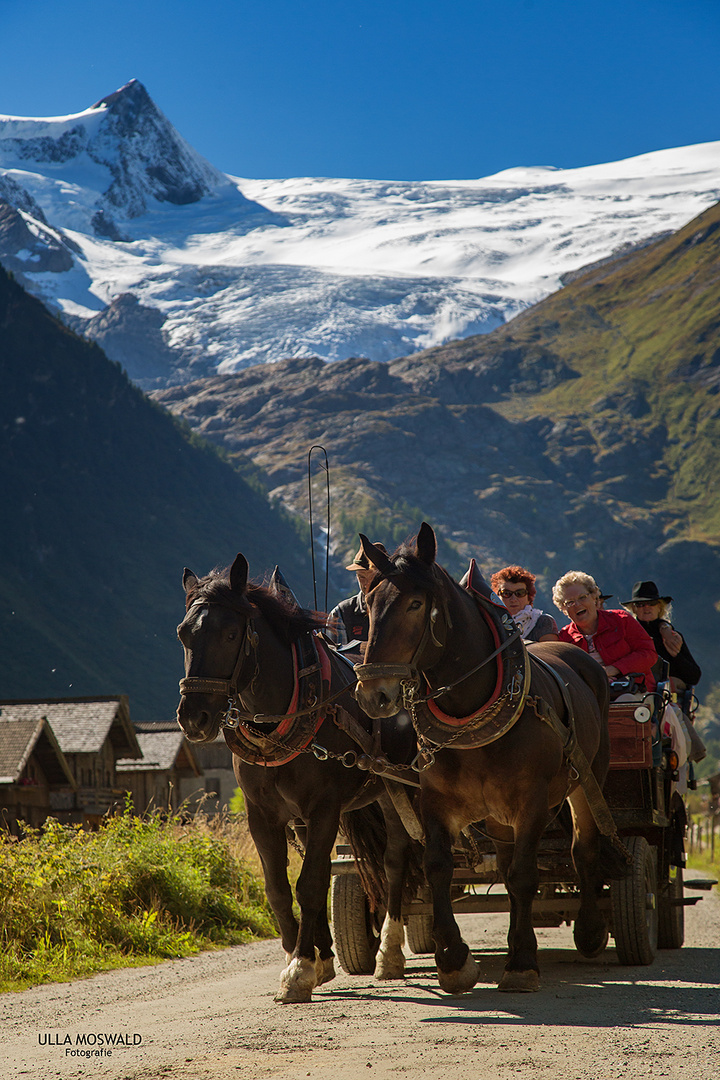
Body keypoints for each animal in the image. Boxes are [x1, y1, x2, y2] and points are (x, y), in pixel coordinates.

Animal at [174, 557, 418, 1002]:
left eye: (231, 633)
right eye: (184, 633)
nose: (194, 718)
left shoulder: (324, 809)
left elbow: (311, 884)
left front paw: (301, 968)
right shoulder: (262, 815)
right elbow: (280, 888)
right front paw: (301, 959)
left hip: (397, 790)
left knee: (396, 860)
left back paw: (389, 952)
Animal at [354, 524, 626, 993]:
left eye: (414, 603)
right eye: (369, 603)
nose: (373, 694)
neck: (471, 708)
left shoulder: (532, 801)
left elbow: (524, 876)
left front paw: (522, 962)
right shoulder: (435, 801)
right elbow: (438, 866)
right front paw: (453, 959)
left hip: (587, 778)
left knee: (582, 849)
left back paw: (589, 929)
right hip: (499, 817)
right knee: (505, 859)